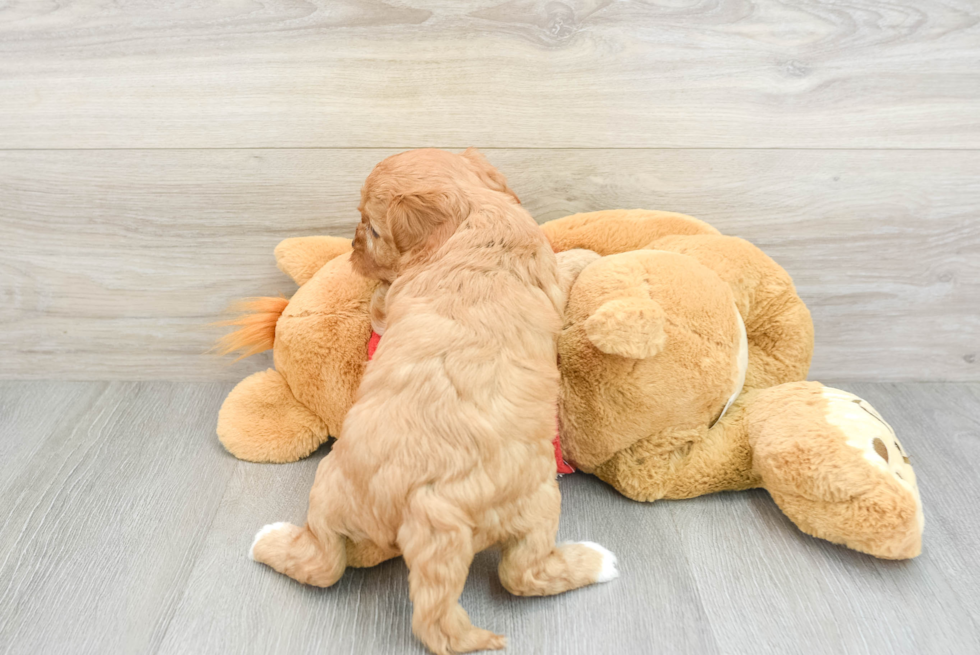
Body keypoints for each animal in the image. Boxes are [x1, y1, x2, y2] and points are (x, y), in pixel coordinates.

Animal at [249, 149, 616, 655]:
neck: (471, 211)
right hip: (538, 503)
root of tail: (425, 508)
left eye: (372, 229)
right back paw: (598, 561)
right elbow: (566, 263)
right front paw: (588, 254)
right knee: (523, 573)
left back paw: (269, 540)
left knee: (323, 562)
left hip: (330, 491)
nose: (352, 248)